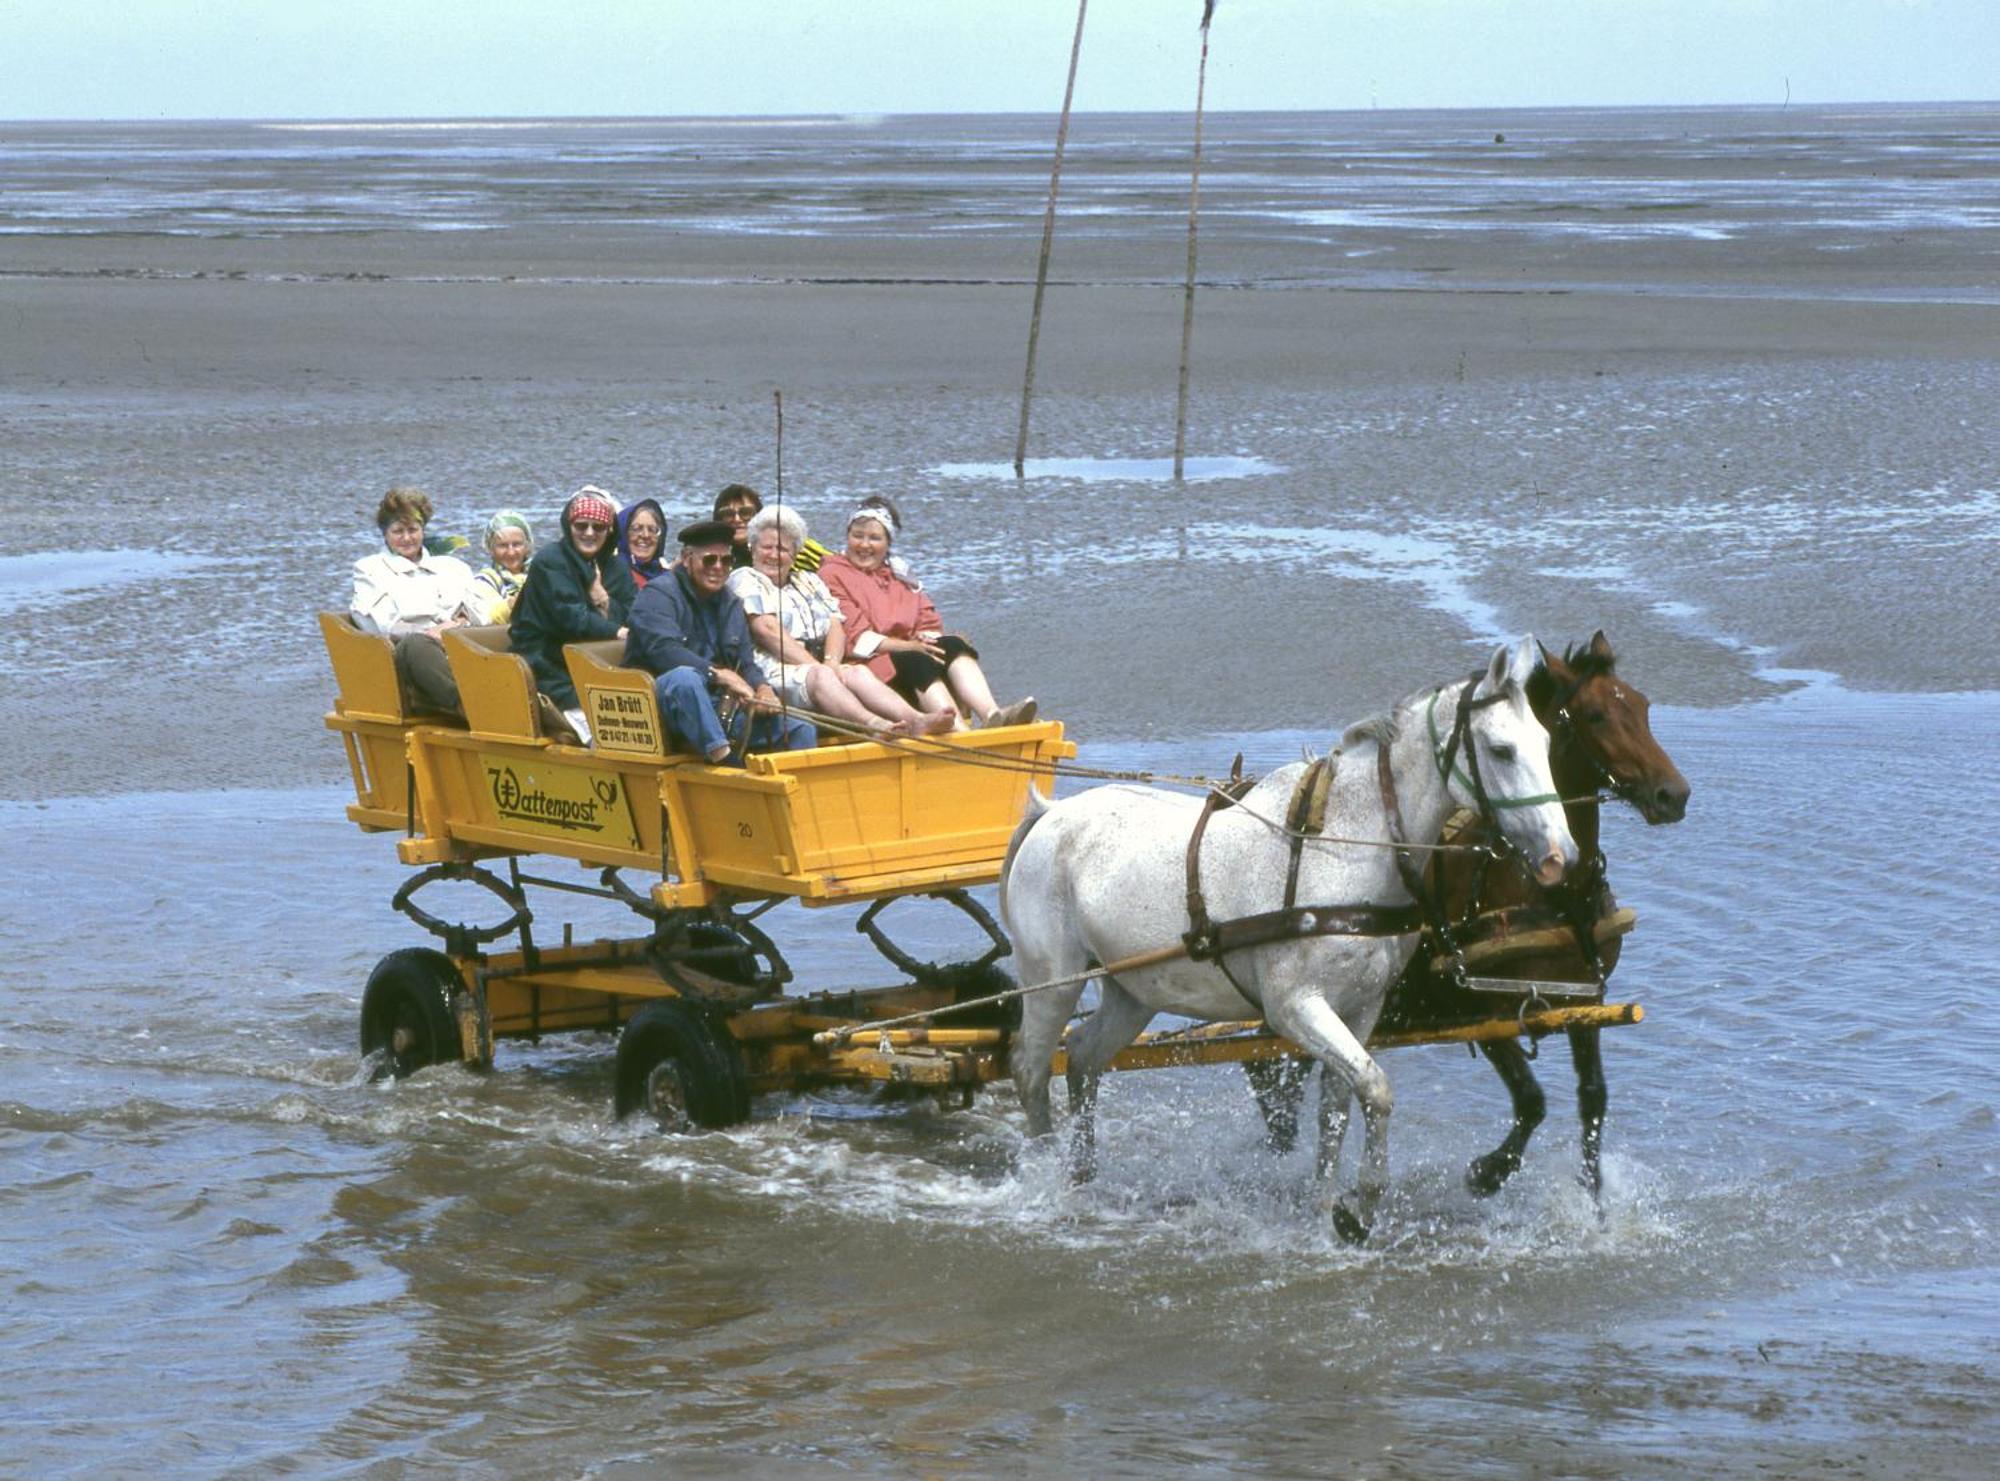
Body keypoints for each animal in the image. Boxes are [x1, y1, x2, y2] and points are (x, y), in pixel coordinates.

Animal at [1000, 636, 1576, 1240]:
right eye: (1501, 750)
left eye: (1545, 742)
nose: (1560, 857)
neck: (1345, 847)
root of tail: (1050, 815)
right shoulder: (1295, 1006)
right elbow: (1376, 1090)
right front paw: (1363, 1201)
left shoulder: (1361, 1008)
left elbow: (1338, 1106)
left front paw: (1324, 1206)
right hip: (1052, 982)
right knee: (1032, 1068)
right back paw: (1046, 1178)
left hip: (1133, 991)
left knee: (1083, 1058)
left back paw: (1082, 1174)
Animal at [1248, 632, 1688, 1200]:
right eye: (1595, 715)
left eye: (1642, 705)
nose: (1673, 794)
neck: (1549, 891)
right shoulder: (1480, 1009)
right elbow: (1532, 1100)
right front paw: (1488, 1171)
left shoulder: (1584, 1003)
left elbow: (1593, 1098)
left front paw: (1593, 1202)